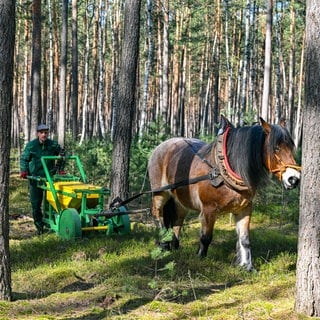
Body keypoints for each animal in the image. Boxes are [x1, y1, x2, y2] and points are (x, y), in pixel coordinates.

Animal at [148, 115, 300, 270]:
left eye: (291, 147)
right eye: (276, 148)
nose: (294, 179)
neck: (224, 171)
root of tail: (161, 146)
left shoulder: (244, 209)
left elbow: (244, 239)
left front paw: (247, 266)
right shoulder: (208, 209)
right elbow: (206, 238)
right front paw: (200, 260)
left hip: (181, 200)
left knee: (177, 221)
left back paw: (175, 246)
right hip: (160, 193)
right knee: (157, 214)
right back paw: (163, 243)